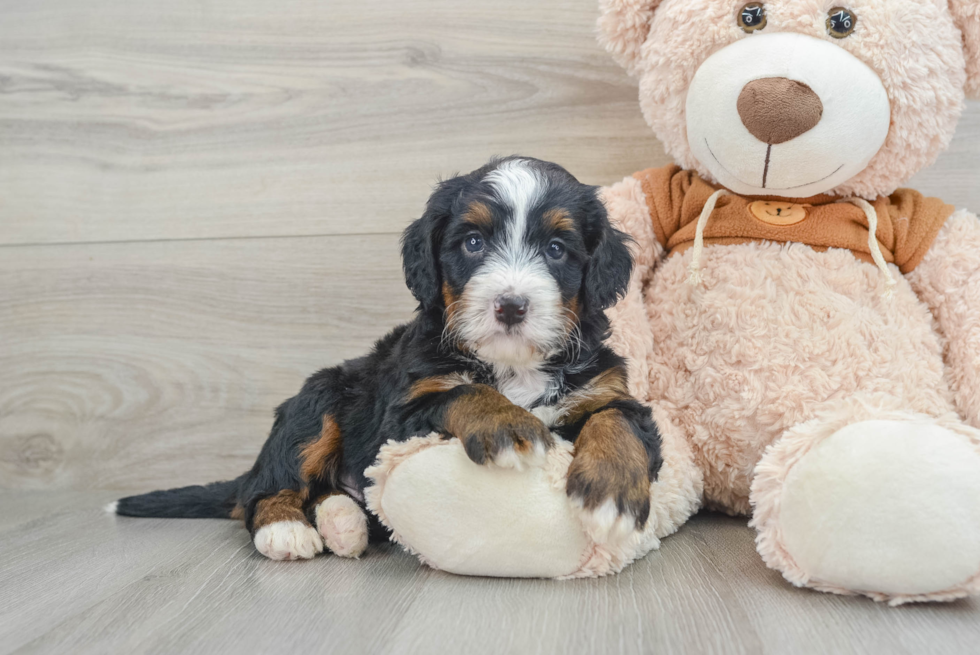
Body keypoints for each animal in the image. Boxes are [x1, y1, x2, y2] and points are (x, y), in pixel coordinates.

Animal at [117, 156, 668, 560]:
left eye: (556, 249)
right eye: (473, 242)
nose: (511, 306)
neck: (513, 365)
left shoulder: (607, 389)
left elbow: (618, 423)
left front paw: (612, 496)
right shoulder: (401, 412)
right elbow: (466, 391)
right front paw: (507, 424)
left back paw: (342, 523)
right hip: (319, 397)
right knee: (266, 487)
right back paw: (286, 530)